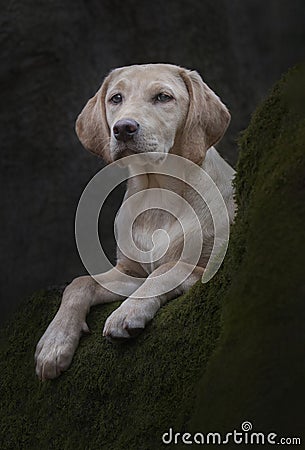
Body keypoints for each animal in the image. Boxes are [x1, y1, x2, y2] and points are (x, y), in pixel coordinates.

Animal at [34, 63, 234, 380]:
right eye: (116, 98)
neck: (157, 194)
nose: (123, 128)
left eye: (163, 97)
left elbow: (166, 269)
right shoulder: (130, 272)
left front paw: (127, 312)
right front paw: (55, 342)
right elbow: (79, 283)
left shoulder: (208, 269)